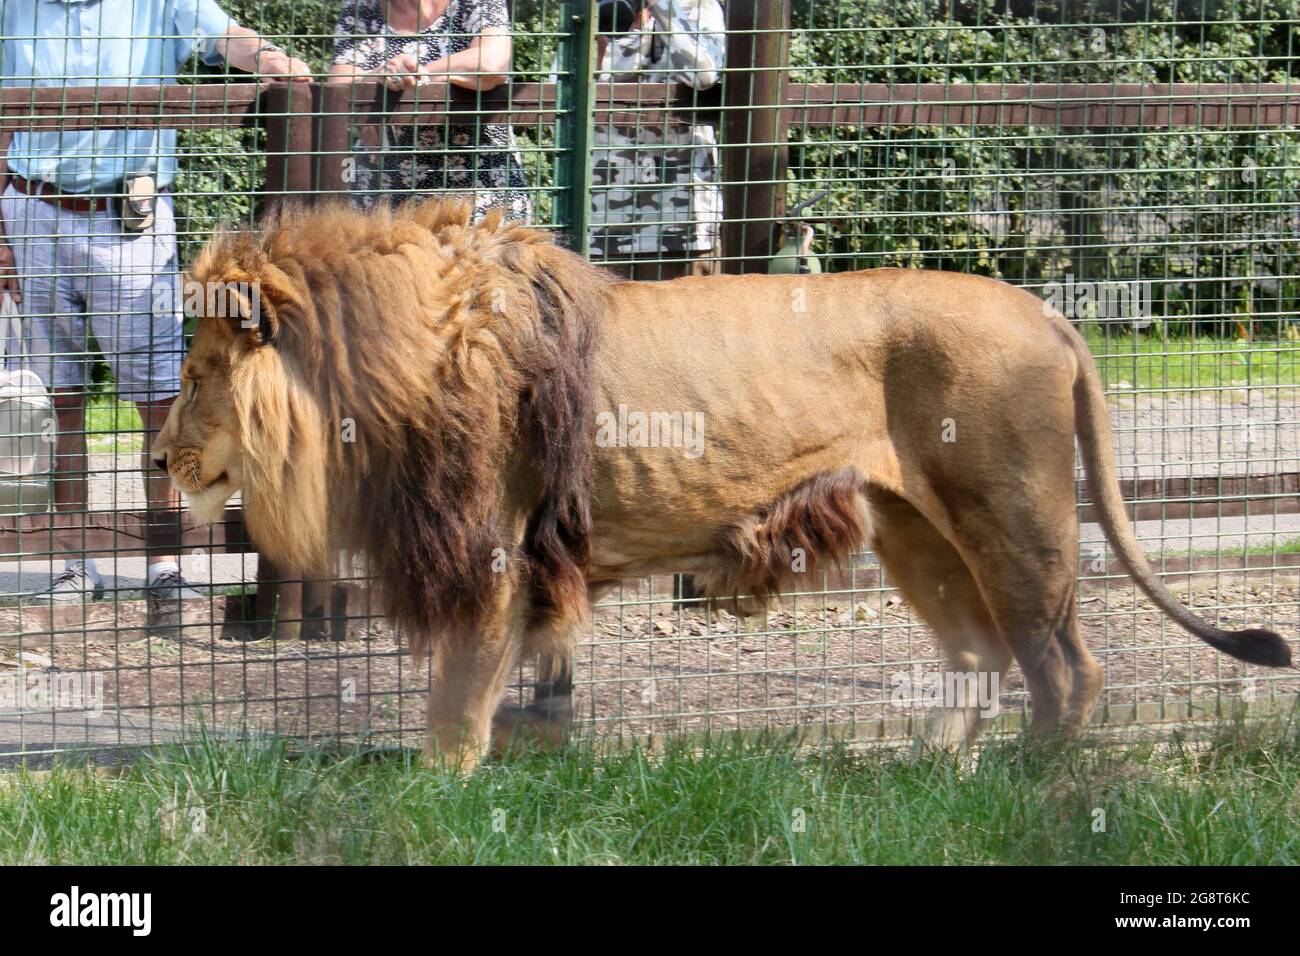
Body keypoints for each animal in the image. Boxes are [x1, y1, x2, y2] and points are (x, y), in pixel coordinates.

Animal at [151, 199, 1291, 771]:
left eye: (199, 374)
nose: (157, 458)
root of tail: (1049, 311)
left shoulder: (494, 558)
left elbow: (454, 712)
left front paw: (441, 801)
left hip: (1015, 519)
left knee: (1066, 670)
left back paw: (1027, 792)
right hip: (913, 530)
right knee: (978, 657)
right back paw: (931, 779)